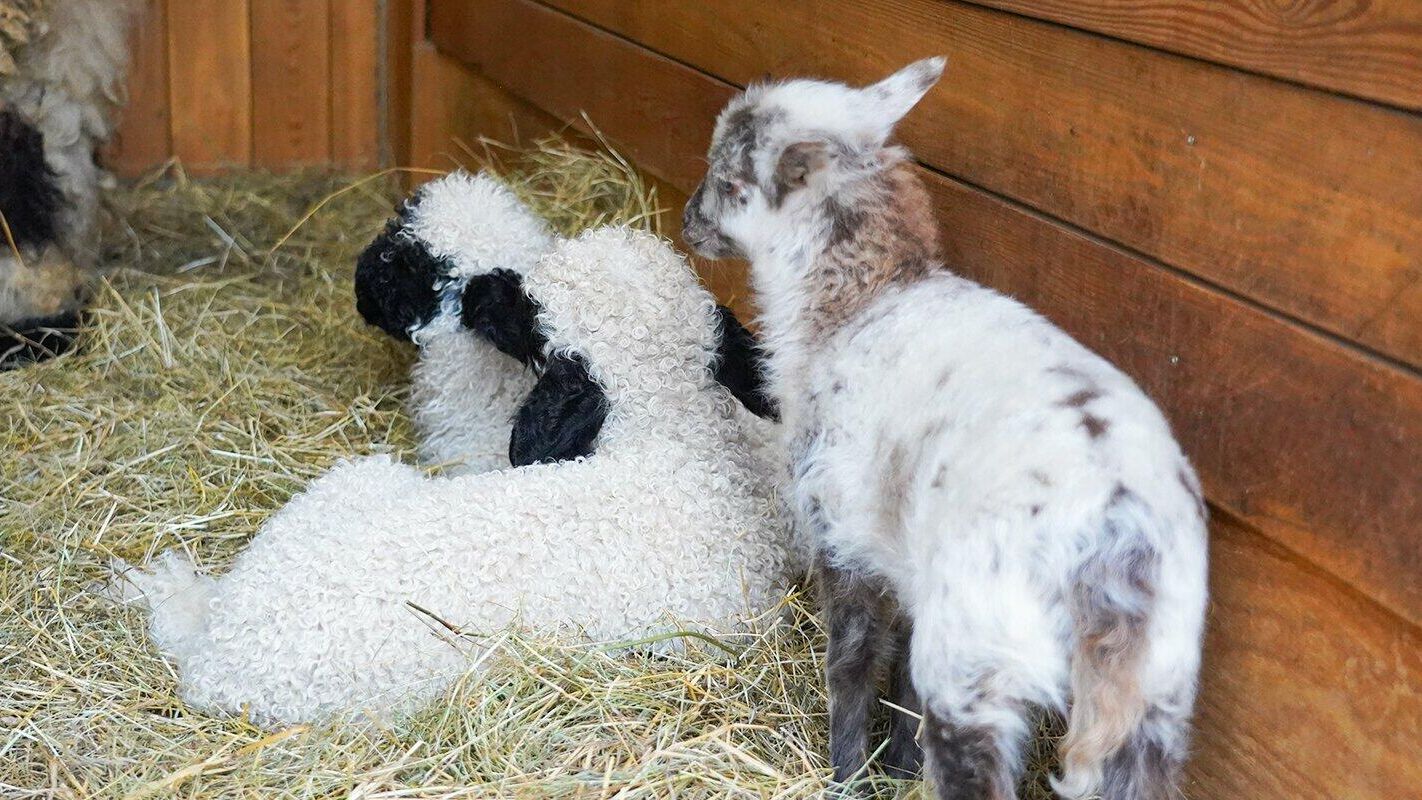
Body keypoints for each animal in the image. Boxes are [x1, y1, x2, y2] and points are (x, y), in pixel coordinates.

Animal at [682, 57, 1205, 800]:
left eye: (730, 181)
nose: (687, 222)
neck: (855, 304)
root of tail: (1117, 533)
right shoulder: (904, 553)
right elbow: (898, 675)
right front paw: (899, 766)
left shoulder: (839, 527)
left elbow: (854, 663)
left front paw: (847, 773)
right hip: (1155, 683)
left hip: (977, 648)